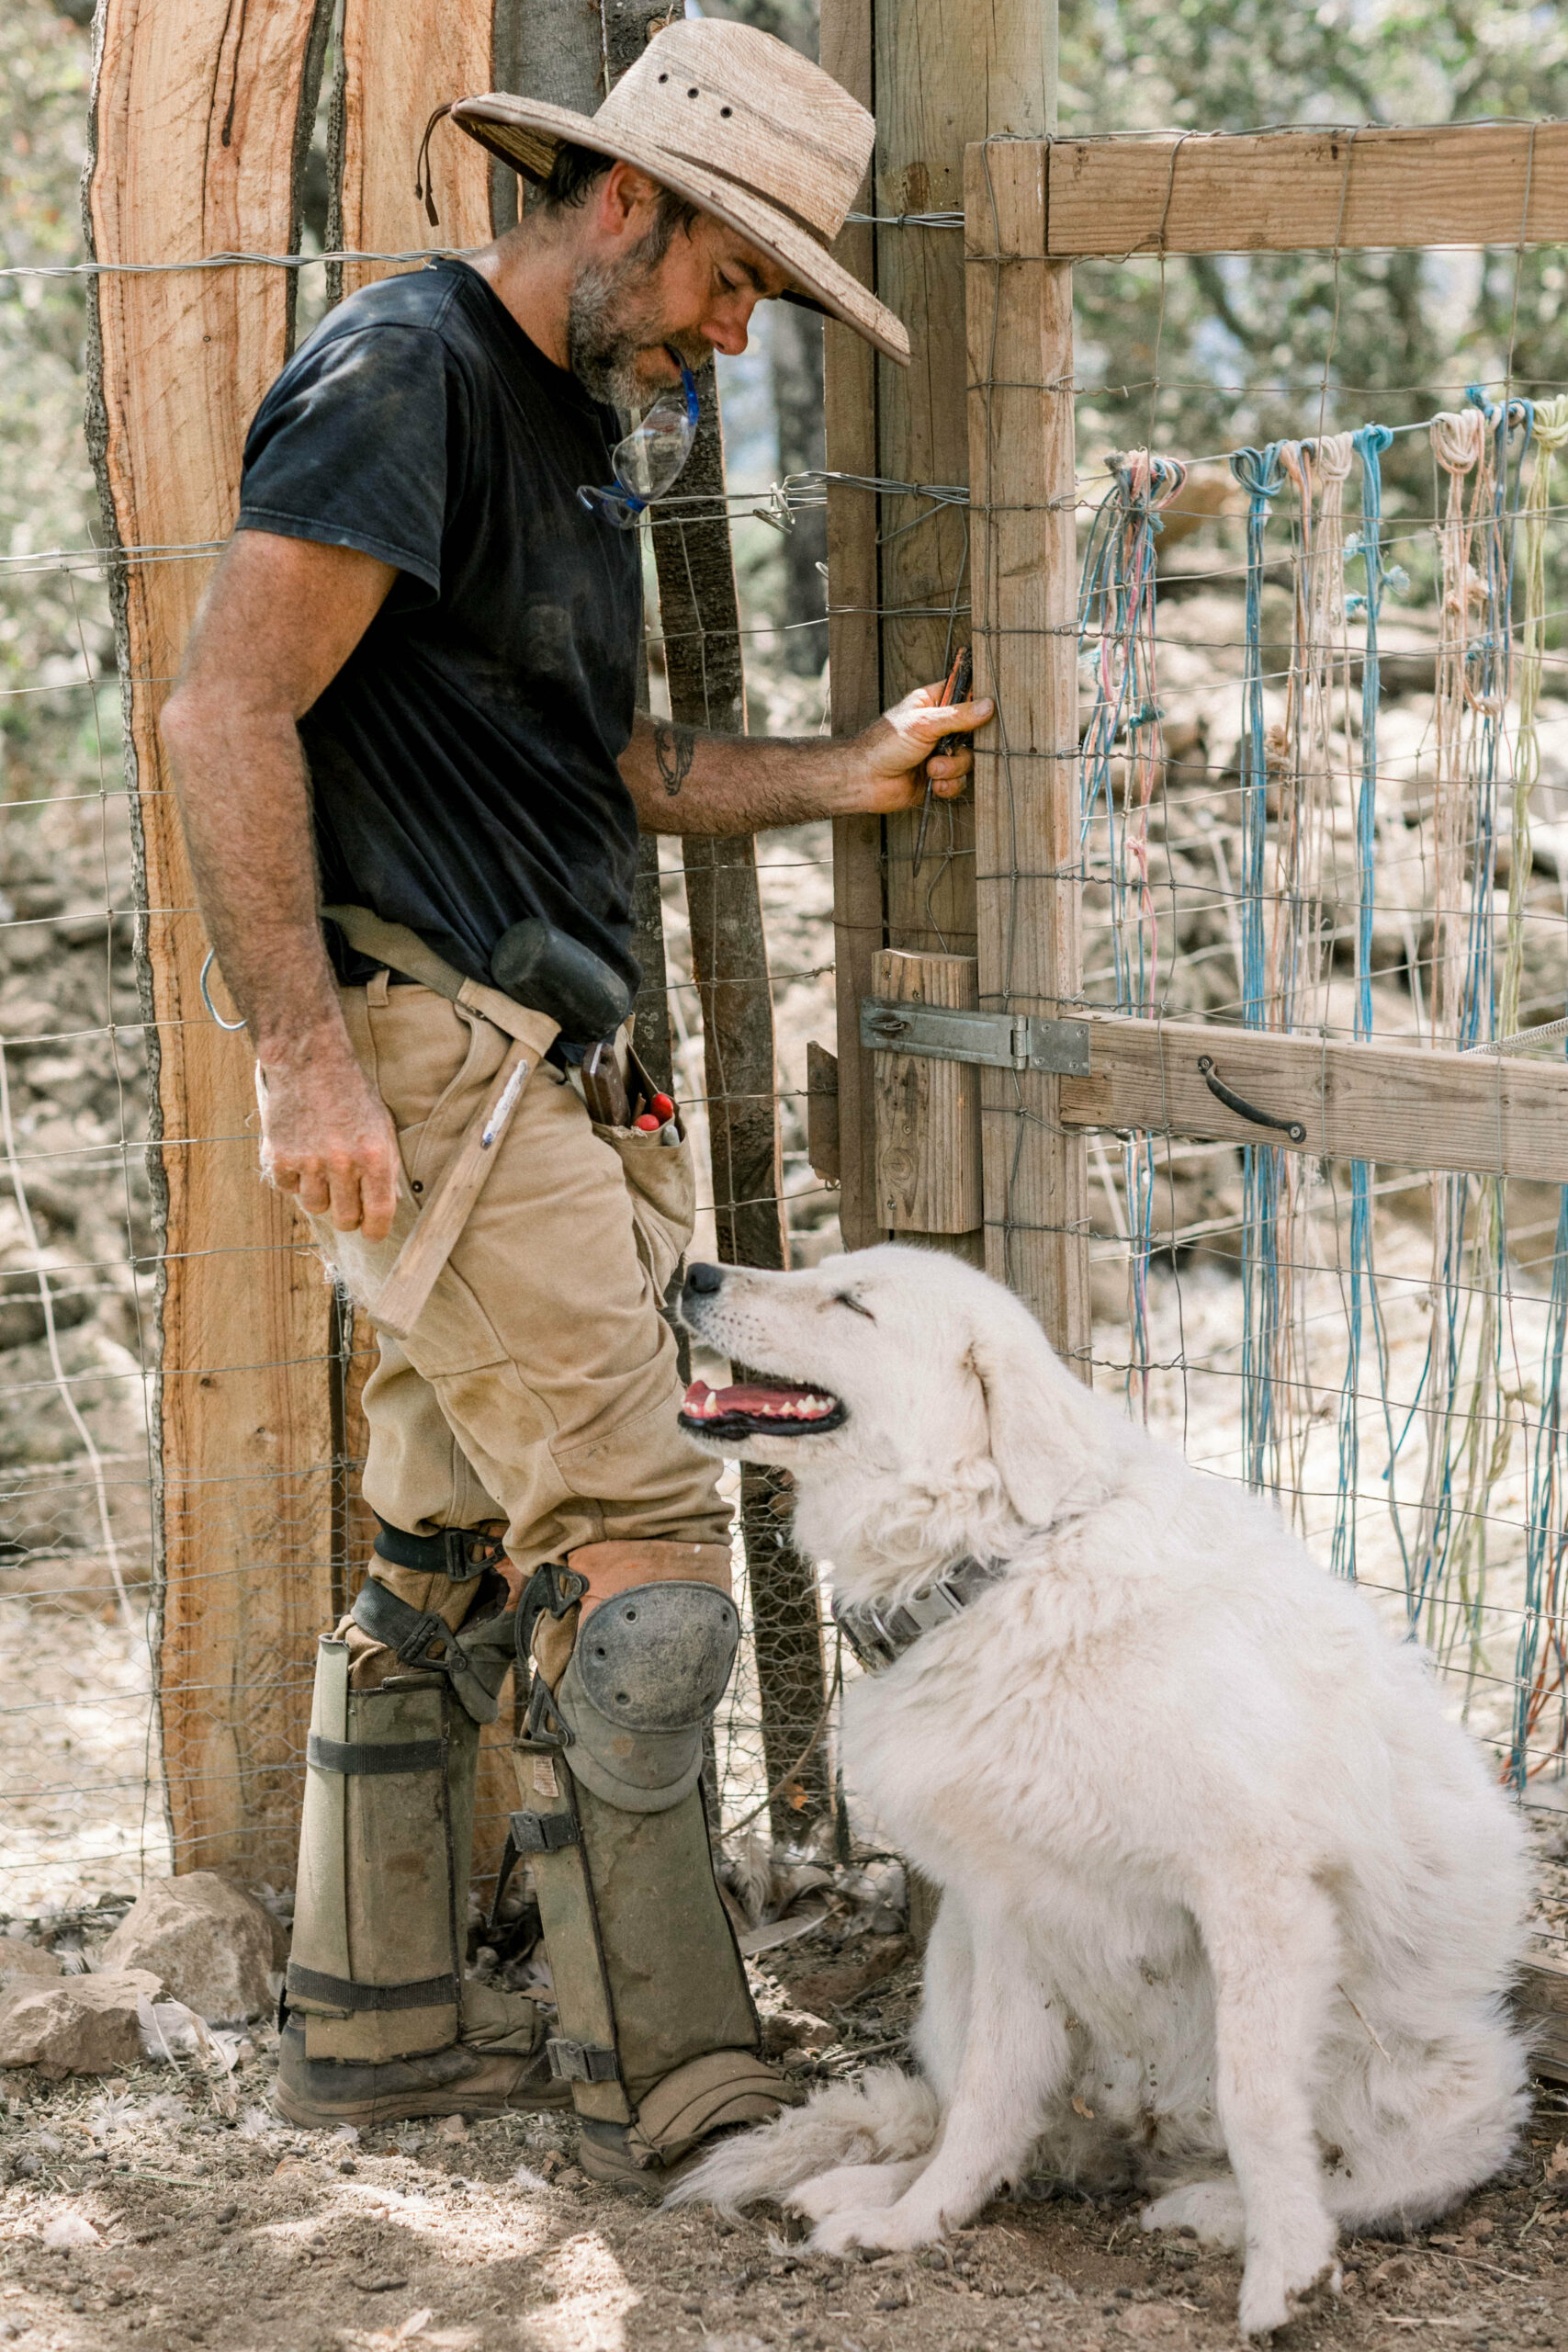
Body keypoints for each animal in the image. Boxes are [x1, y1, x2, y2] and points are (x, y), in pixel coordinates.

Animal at [667, 1250, 1523, 2333]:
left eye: (851, 1302)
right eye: (817, 1273)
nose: (693, 1271)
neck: (997, 1568)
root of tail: (1144, 2141)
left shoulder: (1258, 1893)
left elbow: (1256, 2101)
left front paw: (1284, 2271)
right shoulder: (1007, 1906)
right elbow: (987, 2099)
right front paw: (914, 2225)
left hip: (1453, 2086)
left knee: (1369, 2177)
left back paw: (1212, 2209)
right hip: (953, 1963)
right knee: (990, 2125)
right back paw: (867, 2194)